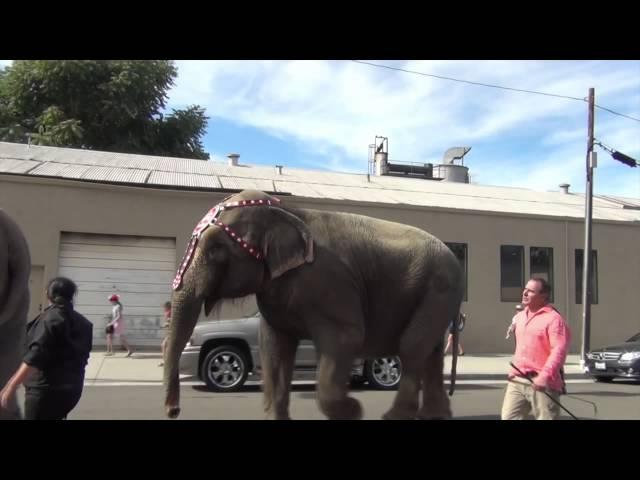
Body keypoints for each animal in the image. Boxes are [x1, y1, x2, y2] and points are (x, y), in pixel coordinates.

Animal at [164, 191, 464, 420]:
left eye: (215, 249)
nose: (173, 412)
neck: (288, 211)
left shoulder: (330, 283)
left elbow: (346, 338)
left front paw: (354, 411)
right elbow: (274, 347)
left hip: (438, 290)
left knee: (411, 348)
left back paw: (394, 417)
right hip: (436, 297)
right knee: (431, 353)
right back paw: (435, 416)